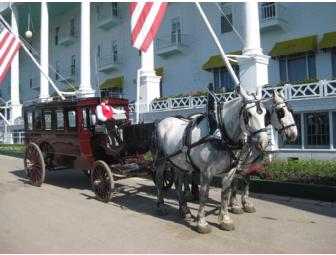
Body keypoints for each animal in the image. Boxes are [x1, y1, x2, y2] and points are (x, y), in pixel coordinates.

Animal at [154, 86, 270, 234]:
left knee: (178, 184)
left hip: (179, 163)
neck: (220, 135)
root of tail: (161, 121)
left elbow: (225, 194)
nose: (264, 142)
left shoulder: (230, 171)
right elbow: (204, 195)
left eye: (264, 113)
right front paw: (202, 223)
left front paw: (225, 220)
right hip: (161, 159)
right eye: (249, 114)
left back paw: (184, 210)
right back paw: (161, 206)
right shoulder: (206, 171)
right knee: (159, 180)